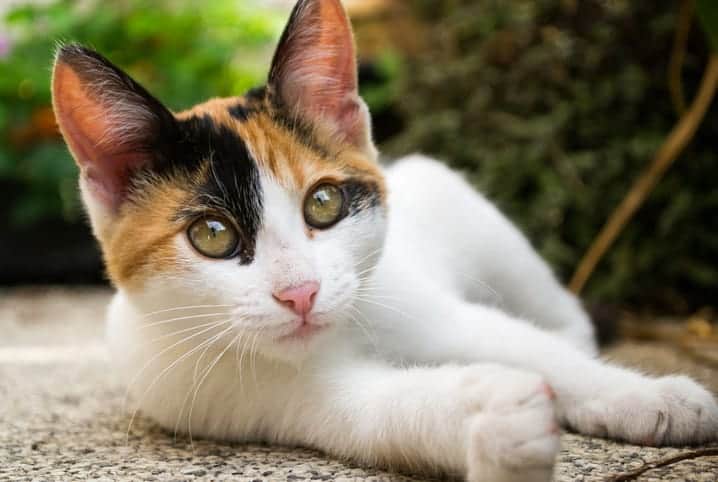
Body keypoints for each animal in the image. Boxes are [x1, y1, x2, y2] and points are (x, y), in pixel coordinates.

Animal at [52, 0, 718, 482]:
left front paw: (658, 400)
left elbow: (539, 352)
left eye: (323, 204)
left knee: (562, 318)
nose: (301, 293)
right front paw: (499, 424)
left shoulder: (439, 310)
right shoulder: (276, 398)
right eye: (211, 236)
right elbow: (392, 410)